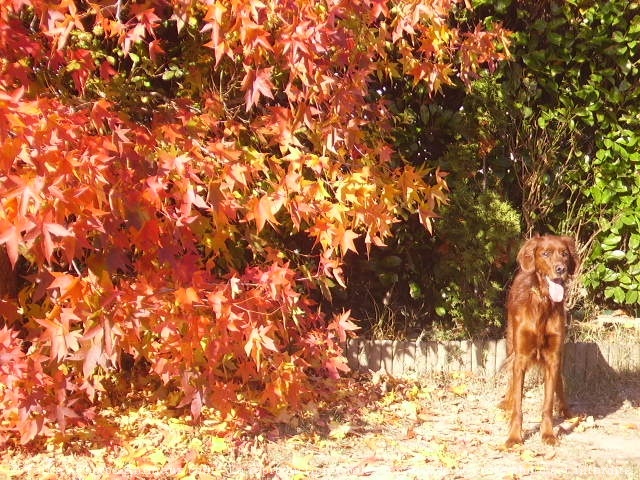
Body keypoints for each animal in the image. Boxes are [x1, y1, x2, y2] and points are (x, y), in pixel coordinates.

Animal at [500, 234, 580, 448]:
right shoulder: (520, 357)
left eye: (564, 254)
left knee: (559, 381)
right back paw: (507, 402)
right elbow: (518, 406)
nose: (561, 269)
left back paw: (567, 410)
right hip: (511, 343)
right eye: (545, 253)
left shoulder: (553, 357)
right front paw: (514, 437)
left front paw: (548, 434)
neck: (543, 303)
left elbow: (548, 404)